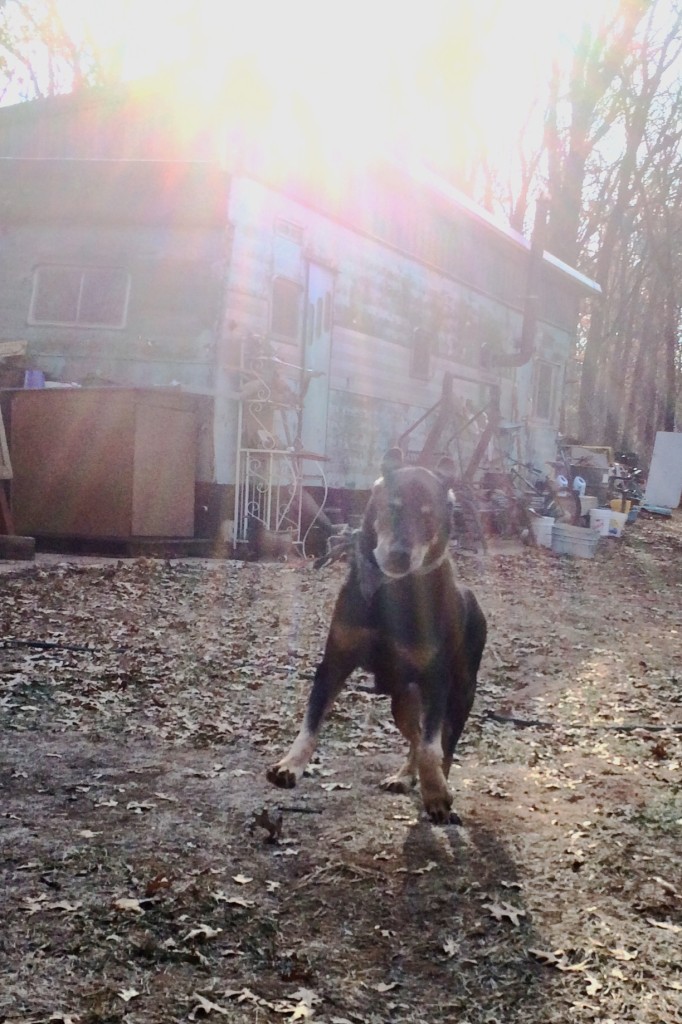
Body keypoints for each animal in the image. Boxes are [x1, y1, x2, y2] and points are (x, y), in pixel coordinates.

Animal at [266, 448, 483, 823]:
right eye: (392, 507)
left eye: (428, 517)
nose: (399, 555)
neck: (394, 591)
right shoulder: (335, 662)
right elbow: (311, 722)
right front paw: (289, 766)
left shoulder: (436, 680)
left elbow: (433, 747)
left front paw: (436, 794)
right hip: (403, 700)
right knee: (415, 738)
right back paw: (403, 777)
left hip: (461, 694)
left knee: (445, 744)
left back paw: (436, 789)